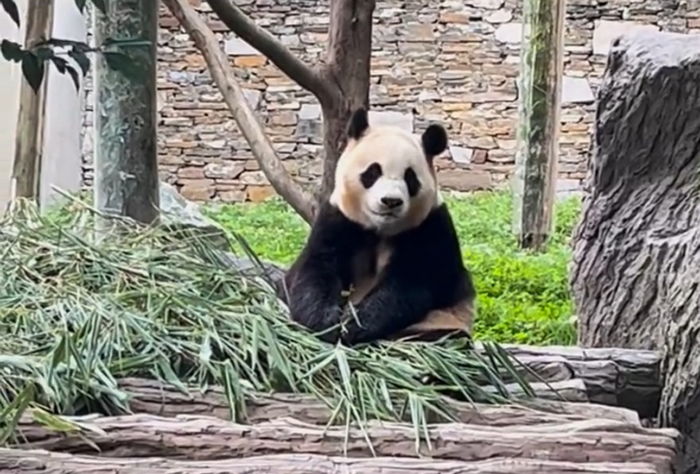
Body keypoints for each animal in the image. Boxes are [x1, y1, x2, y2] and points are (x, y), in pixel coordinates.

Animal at [278, 108, 476, 344]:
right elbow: (316, 270)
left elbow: (410, 283)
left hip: (444, 319)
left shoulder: (430, 228)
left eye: (410, 178)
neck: (379, 229)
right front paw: (326, 322)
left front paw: (356, 324)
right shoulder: (338, 220)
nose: (391, 201)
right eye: (372, 172)